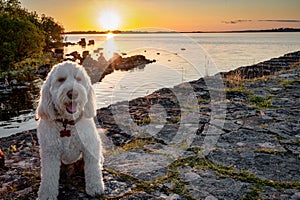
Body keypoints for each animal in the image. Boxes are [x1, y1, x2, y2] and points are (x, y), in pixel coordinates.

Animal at [36, 61, 104, 199]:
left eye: (78, 79)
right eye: (61, 80)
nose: (73, 93)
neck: (67, 123)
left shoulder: (90, 146)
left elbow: (93, 169)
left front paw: (95, 187)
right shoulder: (50, 153)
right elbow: (49, 176)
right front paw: (46, 194)